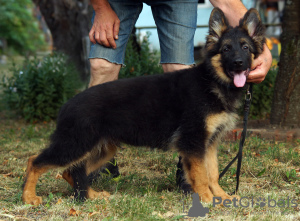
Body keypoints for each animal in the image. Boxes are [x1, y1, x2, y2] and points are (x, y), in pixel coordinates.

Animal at [21, 8, 264, 205]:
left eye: (245, 47)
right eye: (226, 49)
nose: (238, 64)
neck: (212, 81)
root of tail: (67, 104)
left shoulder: (209, 144)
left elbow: (212, 173)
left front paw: (221, 197)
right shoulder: (194, 142)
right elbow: (202, 175)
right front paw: (206, 198)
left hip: (101, 149)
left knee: (71, 171)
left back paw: (90, 195)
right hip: (75, 145)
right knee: (35, 161)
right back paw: (29, 197)